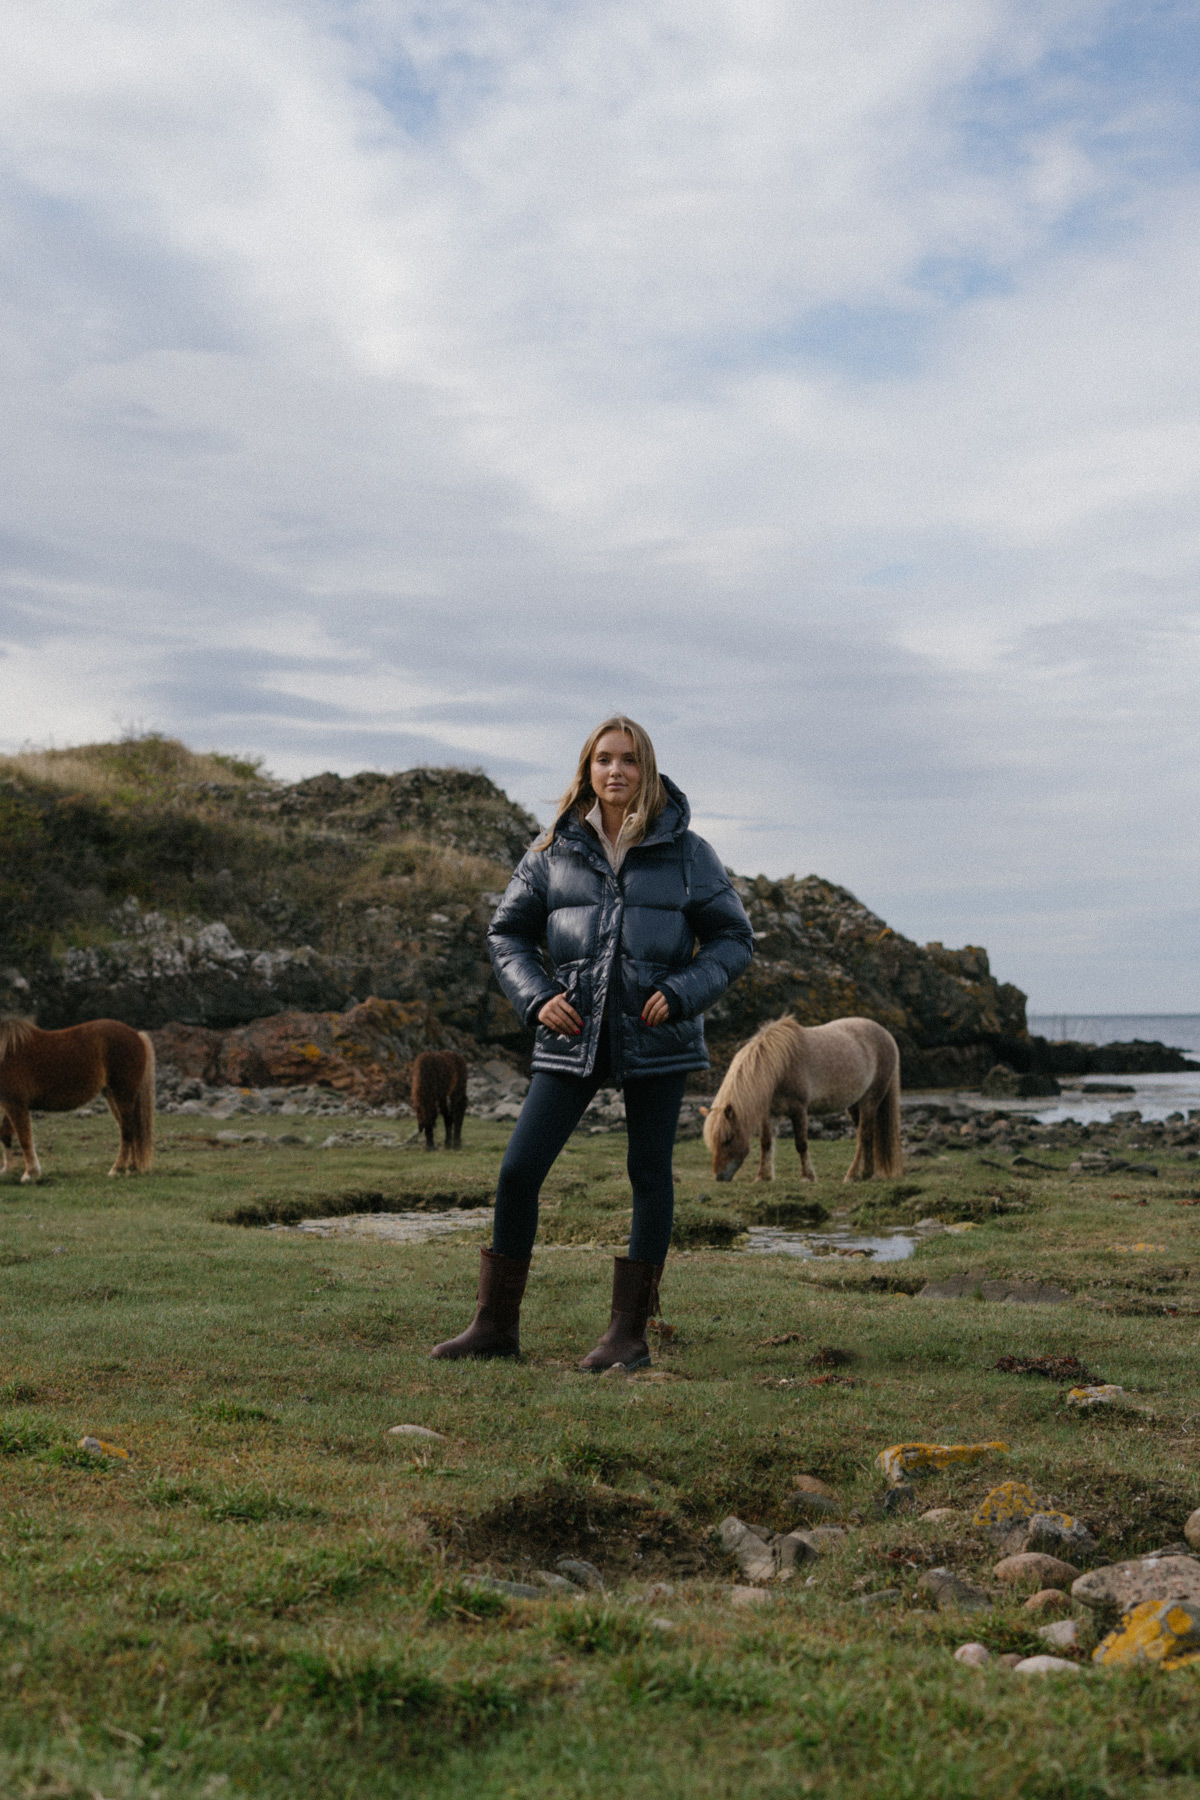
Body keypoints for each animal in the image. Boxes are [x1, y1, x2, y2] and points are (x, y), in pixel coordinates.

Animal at [0, 1017, 156, 1183]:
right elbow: (5, 1135)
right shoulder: (9, 1105)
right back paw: (132, 1167)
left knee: (127, 1132)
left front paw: (30, 1174)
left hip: (123, 1095)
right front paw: (7, 1170)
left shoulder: (16, 1104)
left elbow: (24, 1139)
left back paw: (117, 1169)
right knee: (130, 1130)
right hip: (112, 1096)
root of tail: (137, 1035)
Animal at [703, 1016, 902, 1184]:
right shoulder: (769, 1113)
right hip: (855, 1106)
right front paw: (763, 1177)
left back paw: (854, 1175)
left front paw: (808, 1177)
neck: (780, 1066)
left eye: (728, 1139)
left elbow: (801, 1143)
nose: (719, 1177)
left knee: (864, 1135)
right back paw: (865, 1173)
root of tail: (886, 1035)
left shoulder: (798, 1109)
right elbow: (766, 1143)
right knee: (869, 1134)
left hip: (870, 1100)